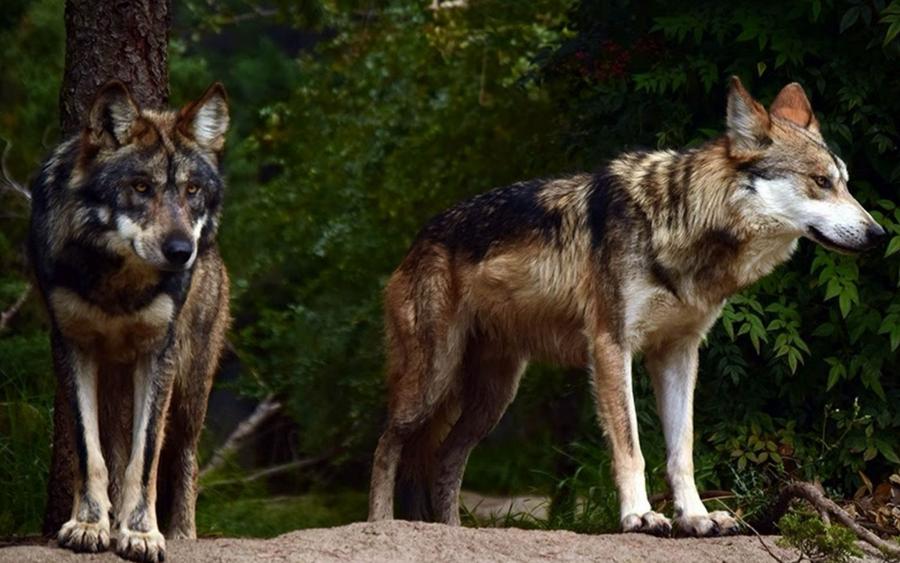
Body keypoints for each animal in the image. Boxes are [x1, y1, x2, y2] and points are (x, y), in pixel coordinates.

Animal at [28, 81, 231, 562]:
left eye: (192, 190)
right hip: (116, 379)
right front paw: (88, 525)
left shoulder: (160, 354)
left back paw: (182, 533)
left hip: (191, 386)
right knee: (117, 452)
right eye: (141, 187)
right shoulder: (71, 346)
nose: (182, 252)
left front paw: (140, 534)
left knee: (185, 458)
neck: (119, 283)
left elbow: (146, 458)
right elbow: (92, 453)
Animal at [368, 77, 886, 536]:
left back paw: (451, 530)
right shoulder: (610, 347)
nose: (880, 234)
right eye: (820, 182)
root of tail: (421, 237)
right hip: (433, 381)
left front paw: (696, 517)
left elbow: (682, 450)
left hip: (492, 398)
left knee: (444, 459)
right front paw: (639, 516)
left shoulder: (678, 355)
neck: (682, 225)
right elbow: (631, 445)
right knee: (387, 444)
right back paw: (379, 523)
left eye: (845, 184)